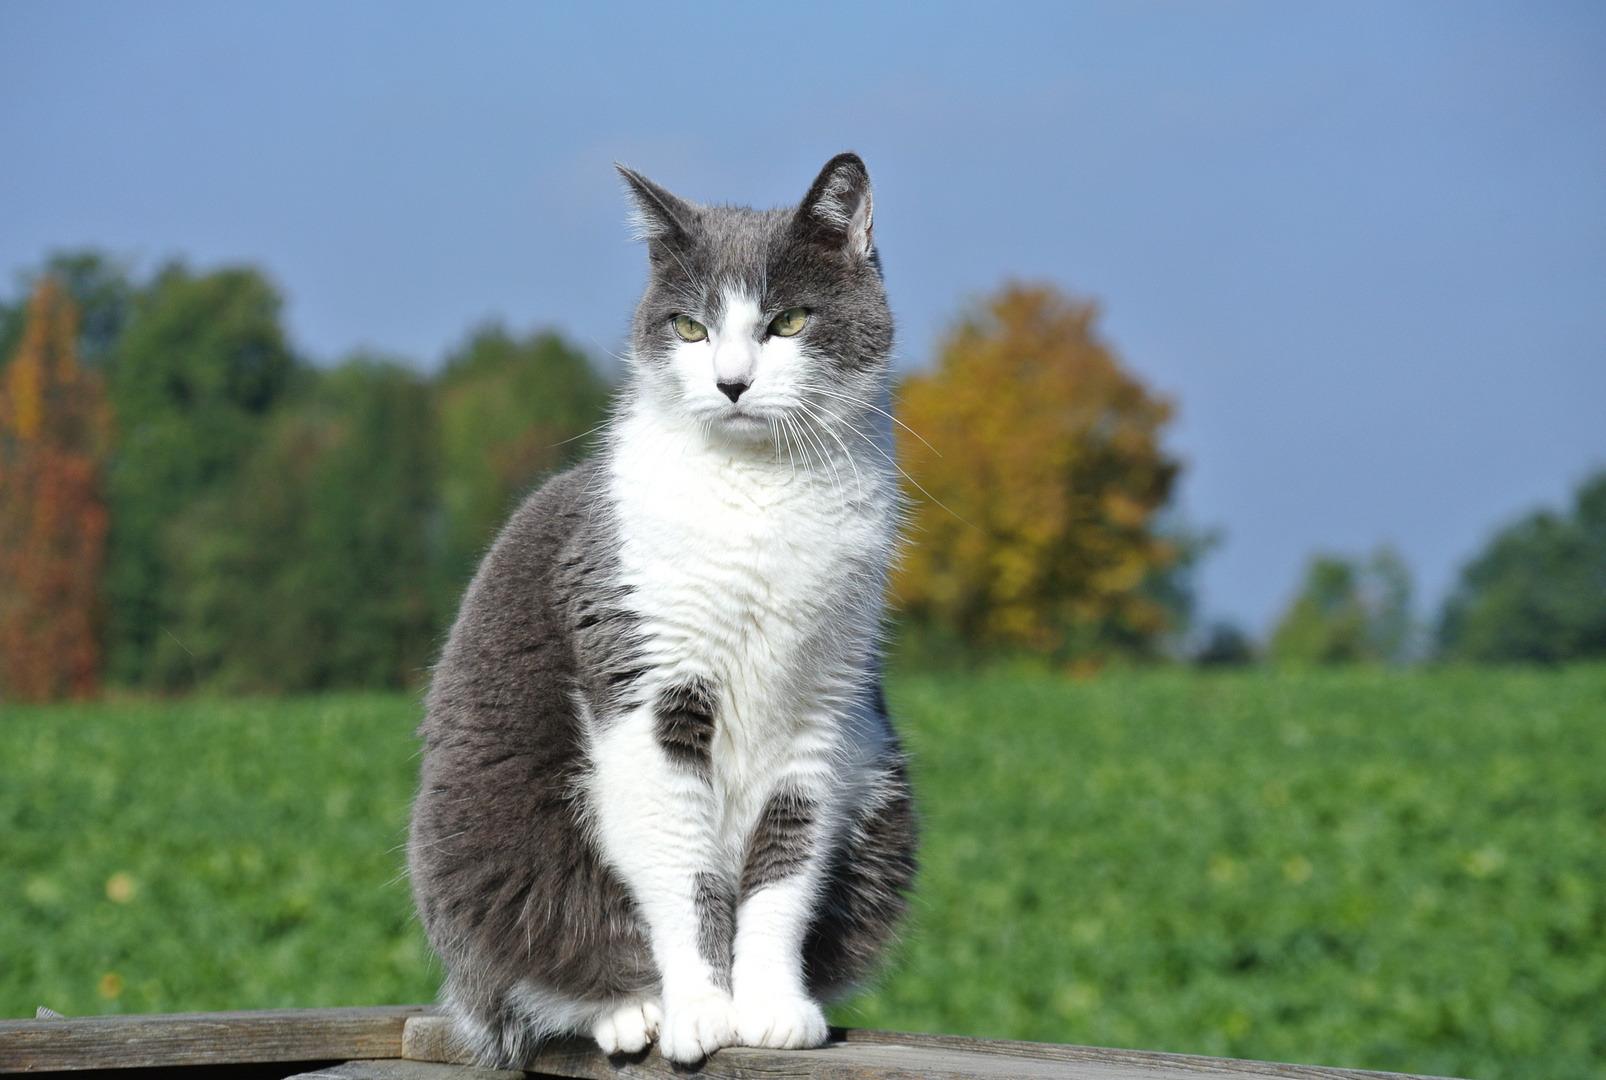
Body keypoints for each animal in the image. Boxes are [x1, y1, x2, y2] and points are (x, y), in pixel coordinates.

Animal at [407, 154, 918, 1073]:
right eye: (688, 328)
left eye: (789, 321)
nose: (732, 382)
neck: (758, 491)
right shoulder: (649, 685)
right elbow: (685, 871)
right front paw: (701, 1012)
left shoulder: (824, 706)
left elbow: (785, 864)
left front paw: (771, 1008)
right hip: (493, 856)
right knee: (527, 982)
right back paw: (629, 1012)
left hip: (886, 800)